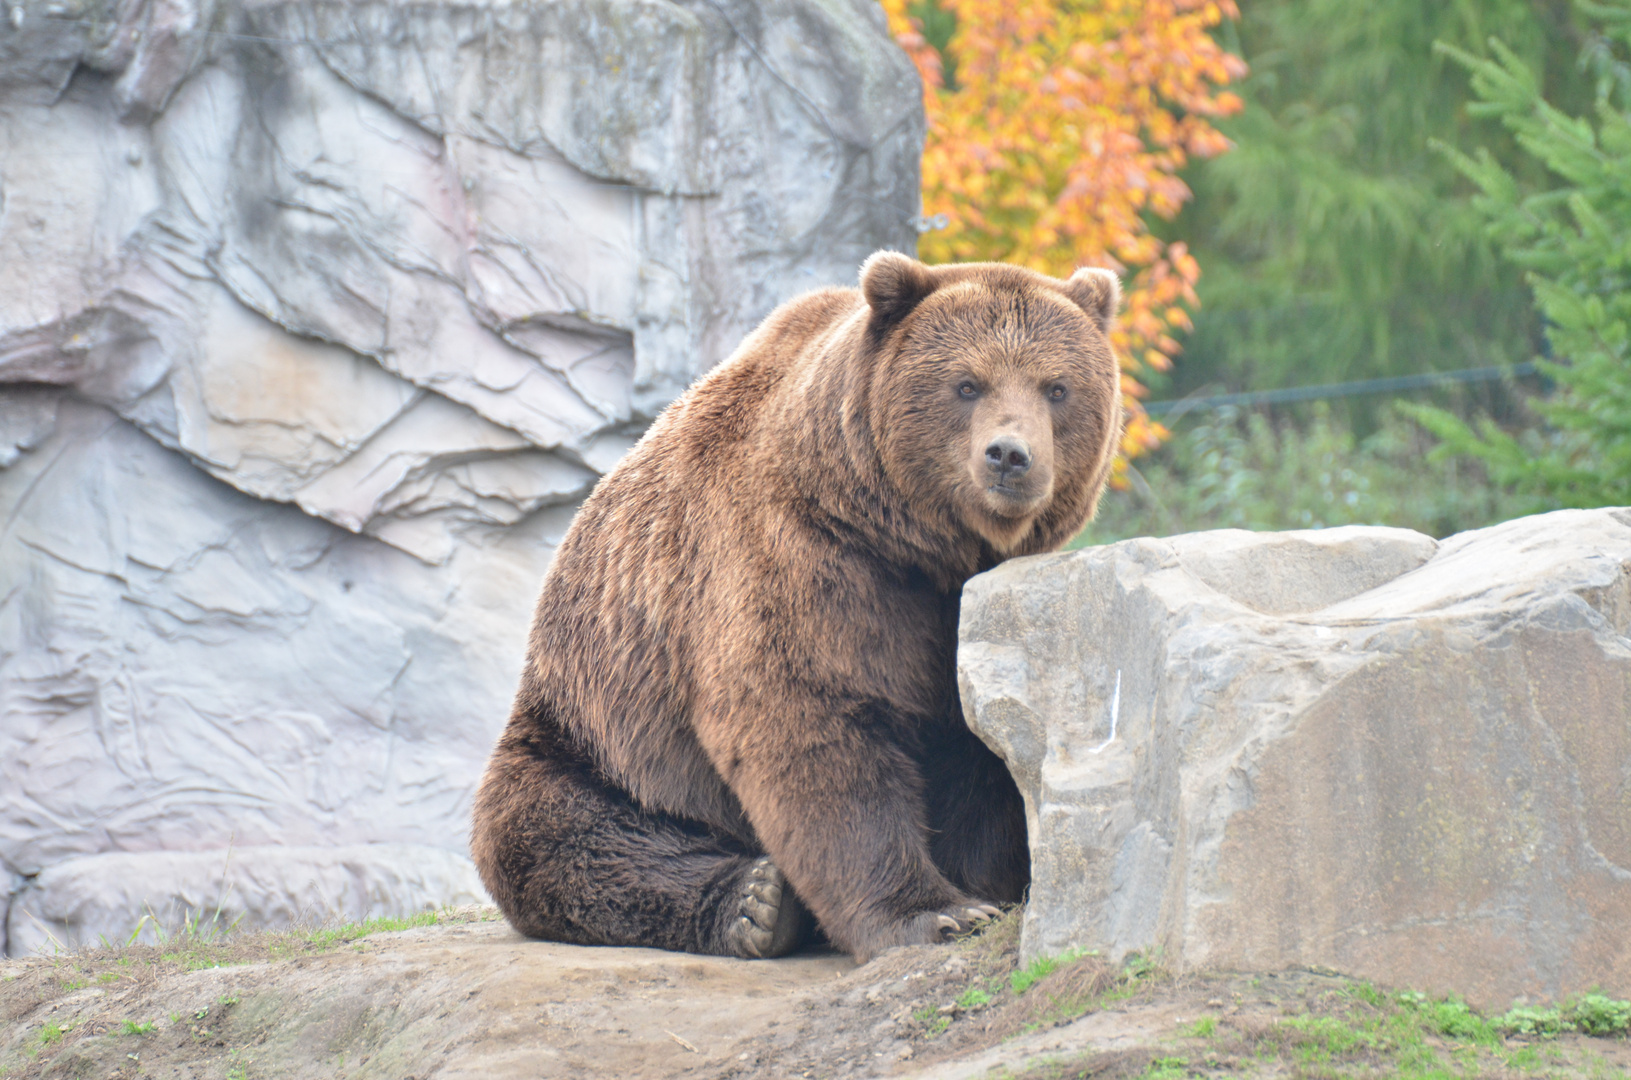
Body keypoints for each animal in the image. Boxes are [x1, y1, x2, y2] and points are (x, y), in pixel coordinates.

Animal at [472, 254, 1122, 965]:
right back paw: (755, 903)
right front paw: (935, 913)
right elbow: (810, 719)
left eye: (1056, 388)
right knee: (561, 835)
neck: (919, 546)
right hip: (596, 735)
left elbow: (981, 752)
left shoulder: (962, 612)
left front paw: (983, 888)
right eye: (967, 384)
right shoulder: (795, 557)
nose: (1008, 456)